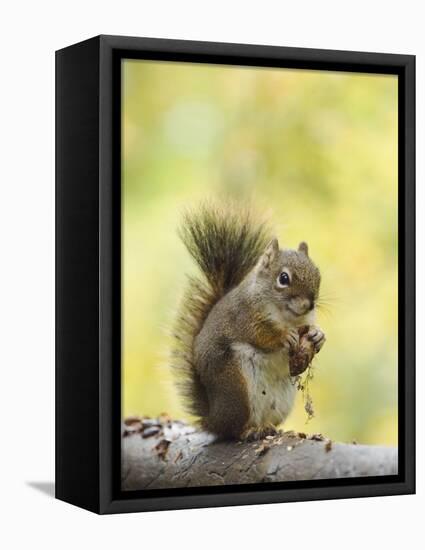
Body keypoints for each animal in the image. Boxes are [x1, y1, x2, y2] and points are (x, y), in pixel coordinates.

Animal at [171, 205, 322, 442]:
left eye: (318, 275)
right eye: (284, 278)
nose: (308, 304)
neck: (286, 316)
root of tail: (212, 419)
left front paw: (318, 335)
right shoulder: (243, 316)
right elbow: (259, 335)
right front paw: (284, 336)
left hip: (281, 402)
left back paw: (271, 429)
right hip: (236, 386)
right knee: (232, 430)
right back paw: (249, 431)